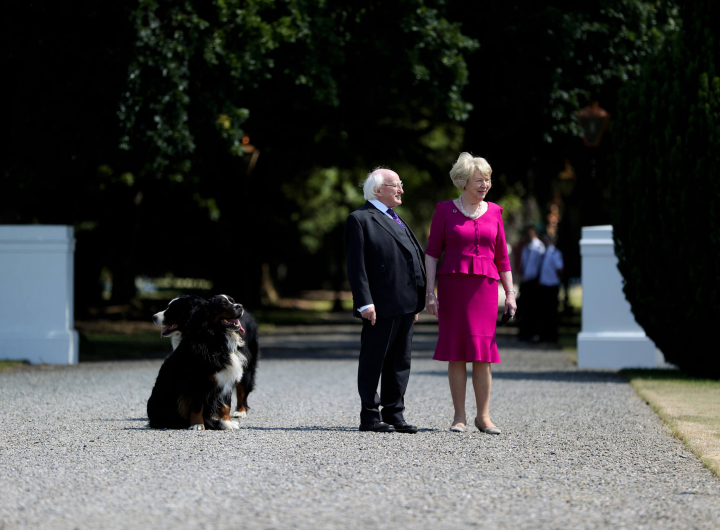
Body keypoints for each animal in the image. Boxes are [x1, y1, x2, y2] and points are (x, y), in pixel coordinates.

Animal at [146, 292, 258, 428]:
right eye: (223, 304)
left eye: (232, 301)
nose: (240, 306)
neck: (218, 337)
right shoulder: (196, 381)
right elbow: (197, 406)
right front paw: (197, 424)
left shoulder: (227, 377)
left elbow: (225, 405)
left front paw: (227, 423)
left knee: (242, 391)